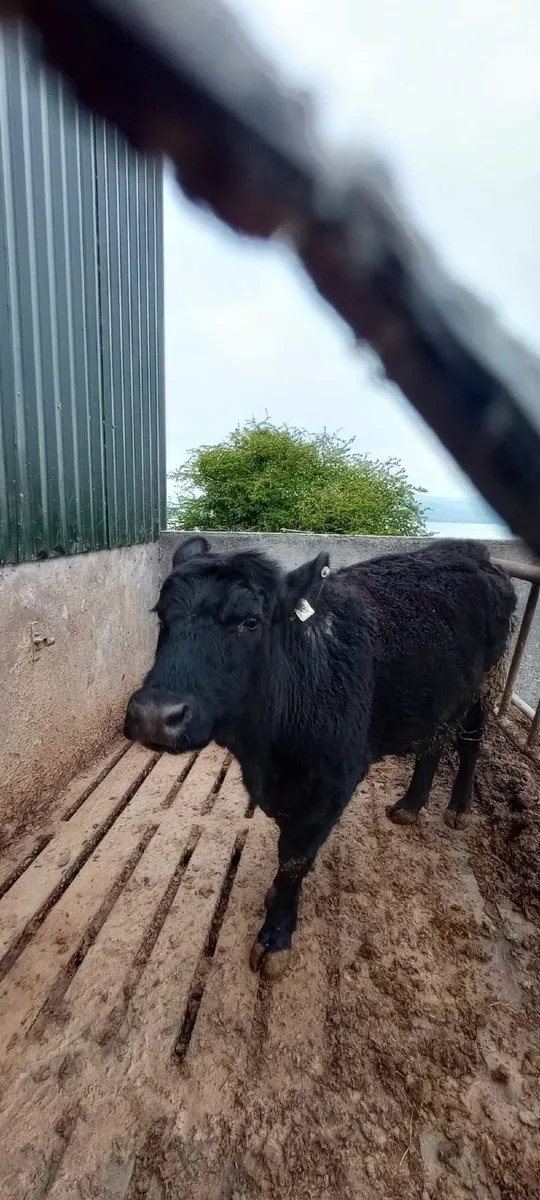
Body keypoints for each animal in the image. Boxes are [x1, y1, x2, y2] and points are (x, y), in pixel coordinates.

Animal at [124, 536, 516, 980]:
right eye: (161, 615)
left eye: (251, 622)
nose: (154, 716)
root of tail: (471, 550)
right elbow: (289, 847)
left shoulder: (334, 781)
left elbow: (295, 856)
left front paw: (276, 935)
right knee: (434, 742)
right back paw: (411, 805)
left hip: (483, 688)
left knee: (469, 741)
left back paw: (460, 808)